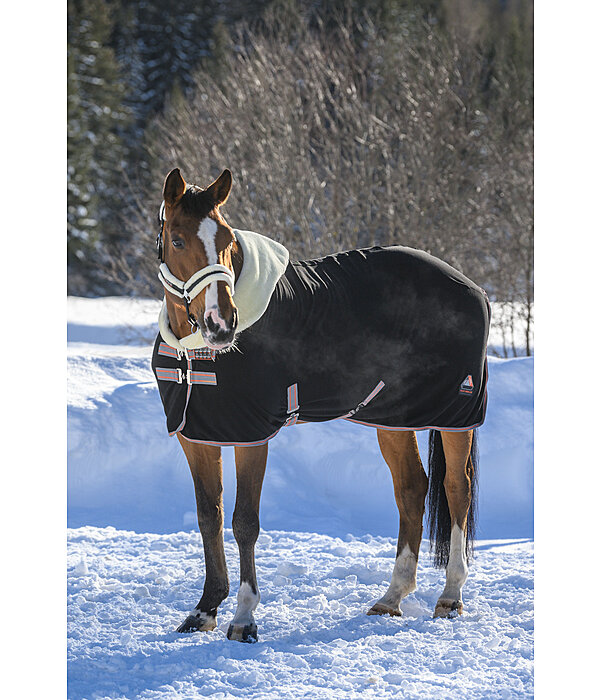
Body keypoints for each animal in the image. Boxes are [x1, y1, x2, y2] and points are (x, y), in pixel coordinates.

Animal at [150, 167, 488, 644]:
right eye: (177, 240)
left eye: (228, 240)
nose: (222, 324)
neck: (193, 351)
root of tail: (473, 287)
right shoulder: (198, 436)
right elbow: (207, 517)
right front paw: (204, 610)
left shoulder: (252, 437)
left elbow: (244, 522)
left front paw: (244, 618)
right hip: (394, 419)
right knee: (412, 490)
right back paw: (391, 598)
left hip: (456, 416)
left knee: (456, 489)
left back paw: (450, 596)